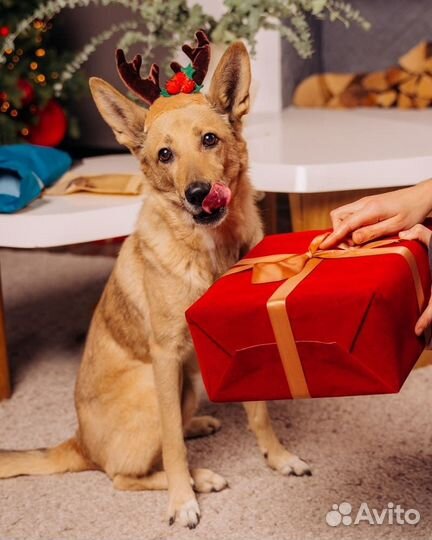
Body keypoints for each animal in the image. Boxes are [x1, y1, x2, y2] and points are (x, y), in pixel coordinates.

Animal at [0, 39, 310, 528]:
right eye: (165, 155)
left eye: (209, 139)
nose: (198, 194)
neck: (210, 253)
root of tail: (78, 443)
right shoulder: (165, 357)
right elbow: (171, 447)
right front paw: (183, 500)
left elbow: (260, 414)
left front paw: (278, 458)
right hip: (157, 384)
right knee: (124, 475)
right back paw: (199, 477)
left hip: (188, 384)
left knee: (166, 436)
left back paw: (198, 426)